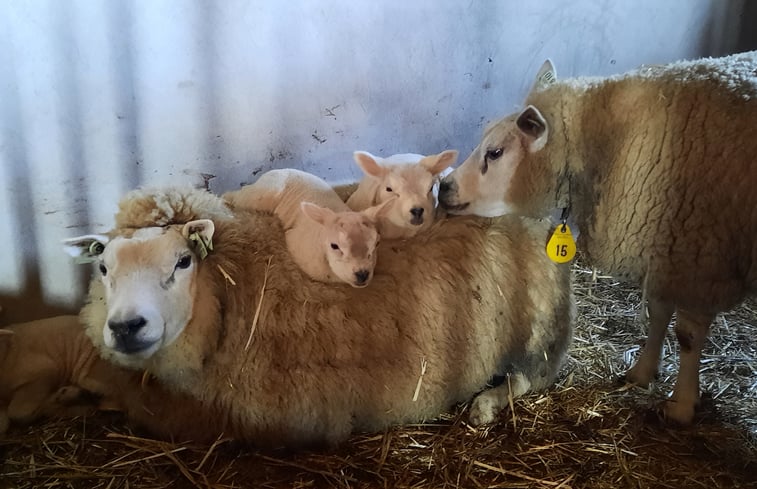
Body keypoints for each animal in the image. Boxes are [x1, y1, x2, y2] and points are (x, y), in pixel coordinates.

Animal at [64, 185, 573, 448]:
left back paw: (485, 405)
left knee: (530, 378)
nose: (126, 327)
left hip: (538, 332)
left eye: (183, 262)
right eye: (104, 268)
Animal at [224, 169, 394, 288]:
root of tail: (274, 171)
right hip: (262, 195)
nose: (362, 274)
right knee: (242, 194)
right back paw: (226, 198)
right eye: (334, 246)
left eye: (377, 243)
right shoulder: (295, 243)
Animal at [438, 51, 757, 425]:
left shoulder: (702, 257)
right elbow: (658, 311)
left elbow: (689, 335)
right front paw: (642, 372)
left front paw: (682, 405)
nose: (444, 188)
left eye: (496, 153)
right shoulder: (668, 246)